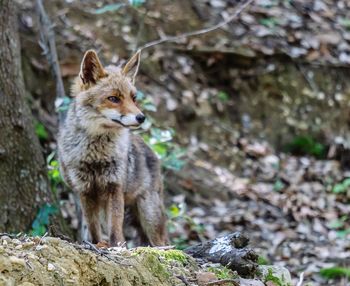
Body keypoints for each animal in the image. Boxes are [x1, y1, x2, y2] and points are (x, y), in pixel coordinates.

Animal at [57, 49, 168, 246]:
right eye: (114, 99)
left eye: (134, 98)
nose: (141, 118)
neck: (95, 157)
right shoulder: (85, 190)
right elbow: (94, 229)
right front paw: (97, 245)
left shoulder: (114, 187)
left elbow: (115, 230)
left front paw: (117, 247)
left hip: (149, 214)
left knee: (163, 243)